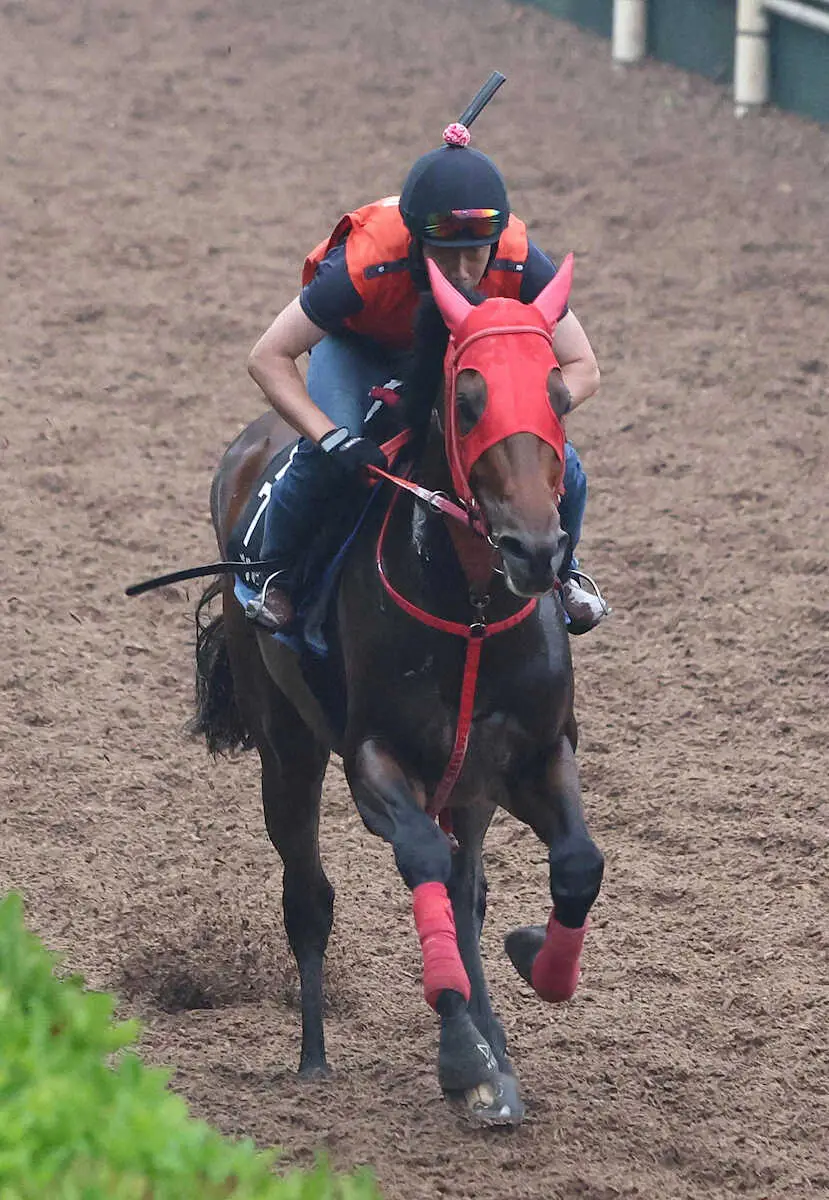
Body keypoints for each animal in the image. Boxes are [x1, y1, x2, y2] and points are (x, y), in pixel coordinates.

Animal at [191, 253, 607, 1123]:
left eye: (556, 394)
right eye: (468, 398)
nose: (536, 550)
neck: (473, 613)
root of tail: (251, 446)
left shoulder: (534, 753)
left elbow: (574, 865)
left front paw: (532, 966)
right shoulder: (373, 758)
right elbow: (418, 860)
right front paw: (461, 1055)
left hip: (471, 782)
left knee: (467, 887)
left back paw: (497, 1046)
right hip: (287, 747)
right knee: (310, 896)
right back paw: (316, 1058)